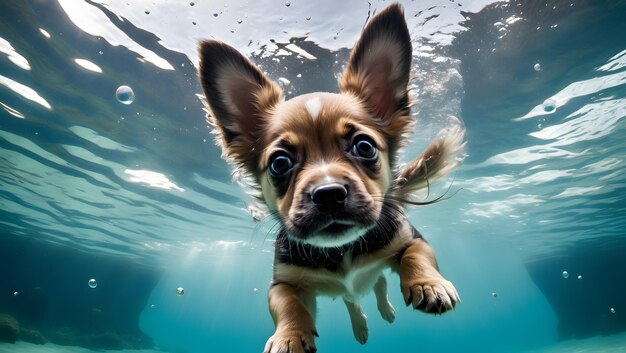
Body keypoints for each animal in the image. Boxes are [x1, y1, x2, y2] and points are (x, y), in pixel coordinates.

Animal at [197, 3, 460, 352]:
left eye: (364, 147)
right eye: (279, 163)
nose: (329, 193)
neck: (341, 250)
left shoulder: (411, 239)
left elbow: (416, 256)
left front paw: (429, 284)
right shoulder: (283, 282)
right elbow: (287, 305)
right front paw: (288, 337)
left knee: (377, 284)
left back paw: (386, 311)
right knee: (352, 299)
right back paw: (361, 327)